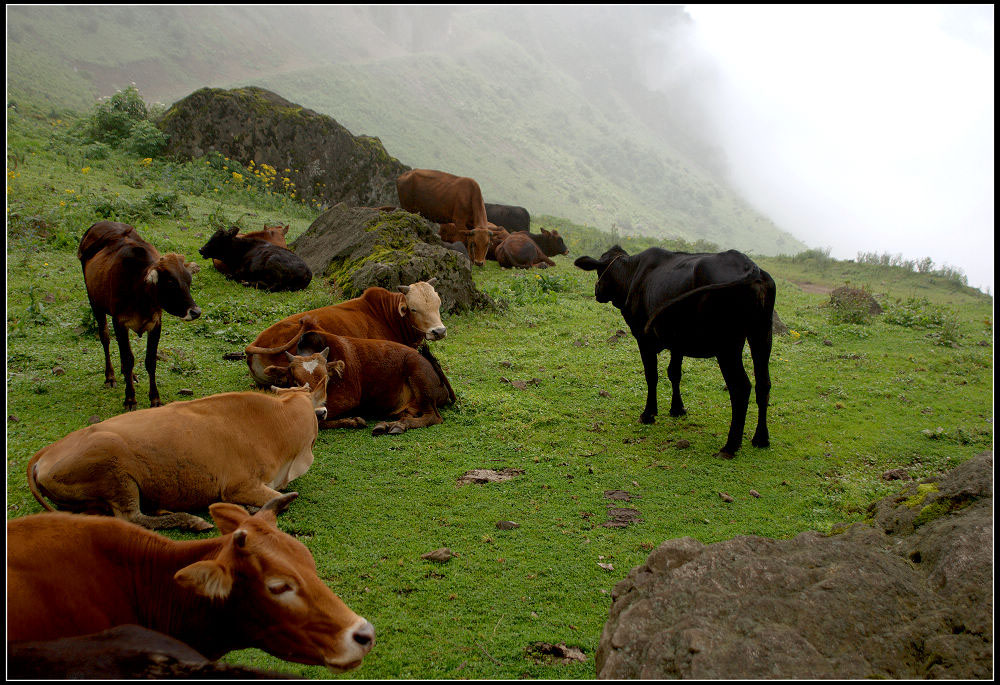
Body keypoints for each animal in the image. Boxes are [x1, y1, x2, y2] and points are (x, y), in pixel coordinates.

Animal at [79, 222, 203, 408]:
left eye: (188, 281)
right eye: (171, 283)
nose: (195, 312)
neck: (139, 290)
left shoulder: (156, 323)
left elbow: (150, 360)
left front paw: (155, 399)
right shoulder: (119, 321)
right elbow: (128, 358)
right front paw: (130, 398)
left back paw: (129, 376)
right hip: (95, 303)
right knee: (105, 338)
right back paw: (111, 377)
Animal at [266, 328, 454, 436]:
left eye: (325, 380)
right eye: (297, 382)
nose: (319, 411)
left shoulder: (347, 398)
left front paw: (354, 421)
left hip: (418, 376)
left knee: (433, 417)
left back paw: (398, 426)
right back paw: (388, 425)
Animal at [576, 246, 776, 460]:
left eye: (599, 270)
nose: (597, 291)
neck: (633, 272)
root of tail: (751, 267)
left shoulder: (644, 337)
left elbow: (651, 376)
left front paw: (648, 413)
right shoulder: (677, 341)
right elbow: (674, 373)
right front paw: (677, 408)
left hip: (728, 346)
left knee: (741, 387)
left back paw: (730, 446)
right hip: (762, 334)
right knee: (763, 384)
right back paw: (761, 439)